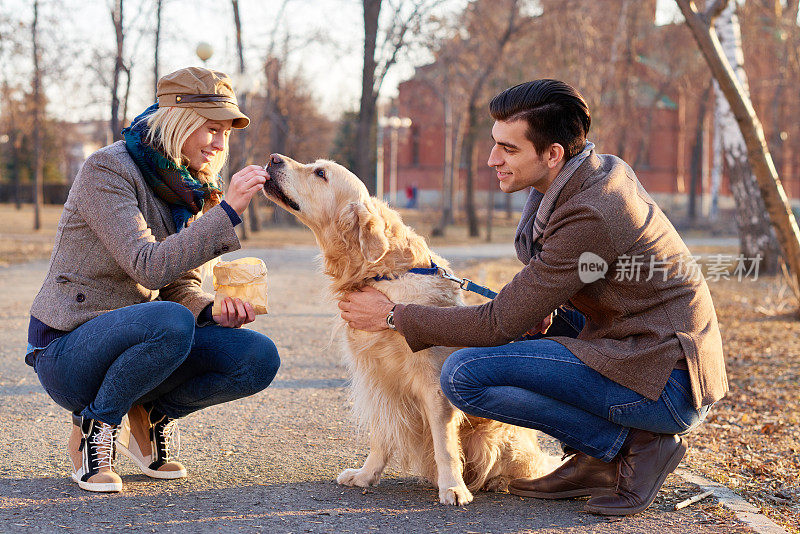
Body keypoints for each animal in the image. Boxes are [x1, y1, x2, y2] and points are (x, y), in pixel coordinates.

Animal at [262, 153, 556, 504]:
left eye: (320, 173)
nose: (273, 159)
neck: (385, 274)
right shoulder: (378, 380)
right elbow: (380, 436)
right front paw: (366, 475)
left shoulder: (433, 385)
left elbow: (445, 446)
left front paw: (453, 487)